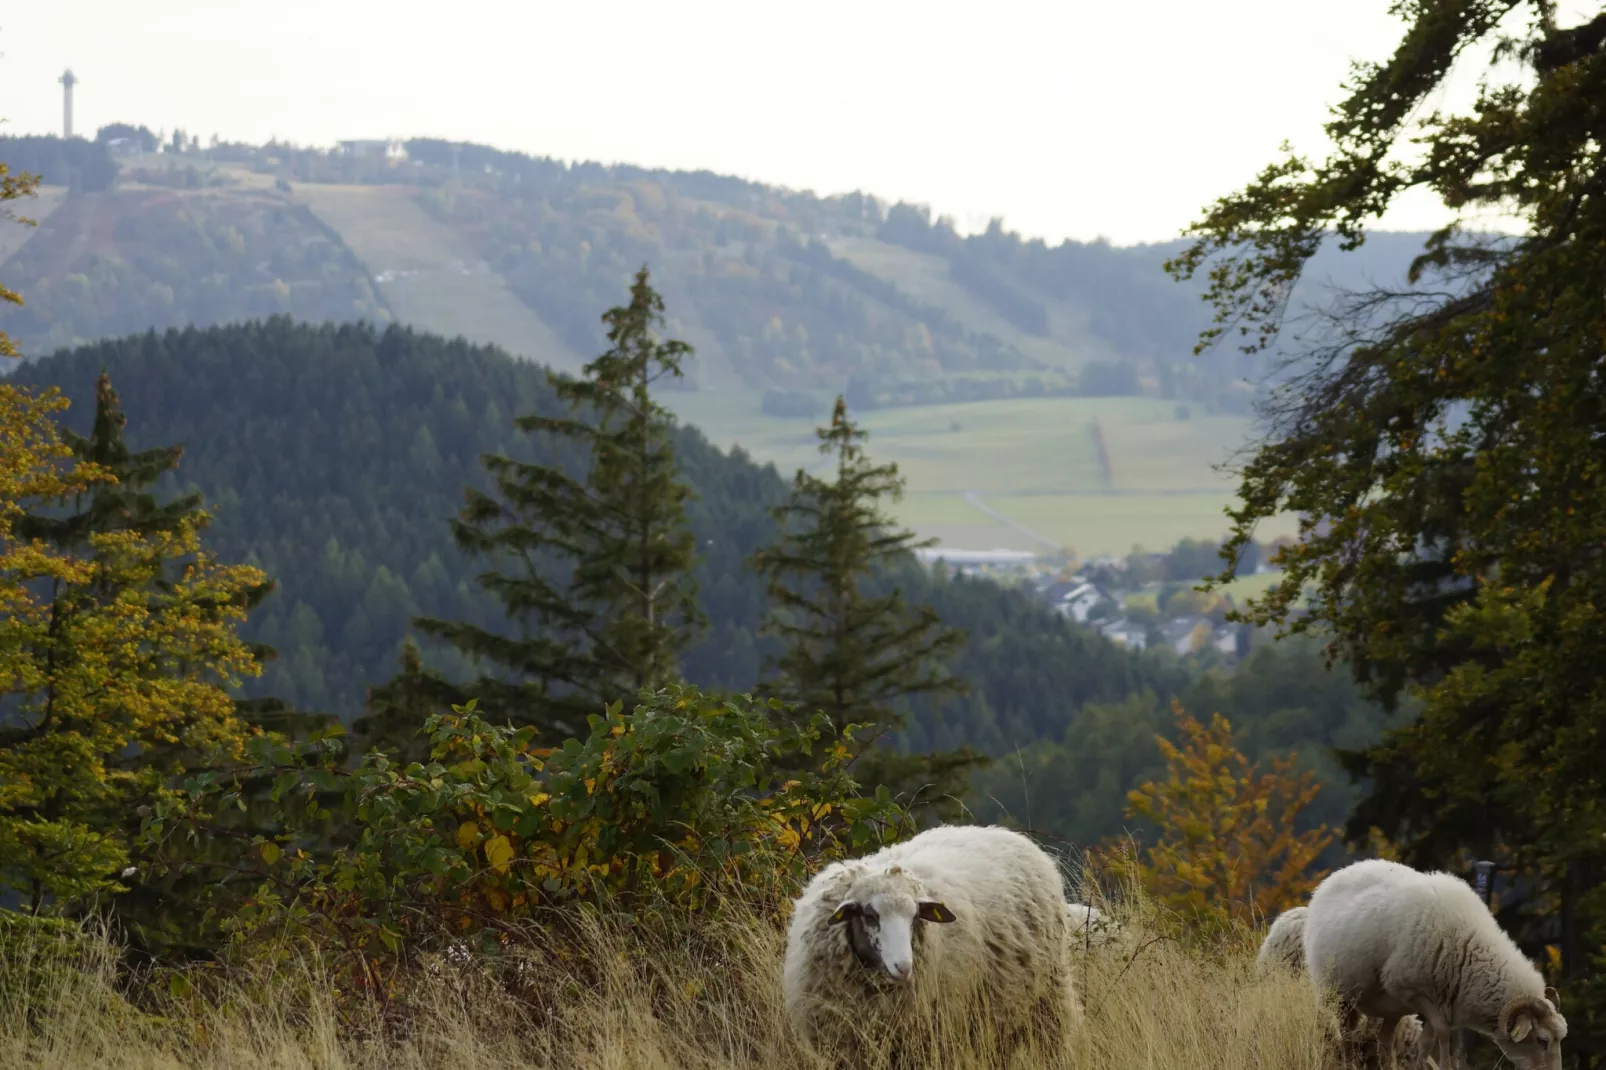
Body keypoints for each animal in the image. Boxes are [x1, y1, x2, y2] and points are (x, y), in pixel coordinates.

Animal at [1304, 861, 1554, 1066]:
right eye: (1542, 1040)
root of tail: (1335, 876)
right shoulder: (1408, 990)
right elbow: (1441, 1033)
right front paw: (1445, 1066)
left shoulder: (1440, 999)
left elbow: (1428, 1039)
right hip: (1339, 997)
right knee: (1346, 1037)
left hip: (1388, 1007)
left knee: (1384, 1042)